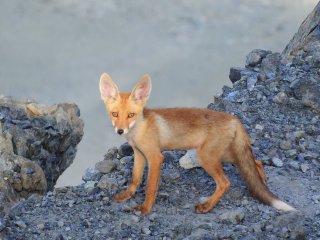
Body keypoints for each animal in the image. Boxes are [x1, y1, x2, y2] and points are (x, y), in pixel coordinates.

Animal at [99, 72, 296, 215]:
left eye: (130, 115)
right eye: (115, 114)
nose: (120, 131)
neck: (139, 130)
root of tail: (234, 118)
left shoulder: (155, 157)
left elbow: (150, 187)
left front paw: (145, 209)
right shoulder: (139, 154)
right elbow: (135, 179)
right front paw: (126, 195)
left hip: (206, 157)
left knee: (225, 183)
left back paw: (207, 206)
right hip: (226, 155)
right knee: (257, 163)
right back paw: (261, 187)